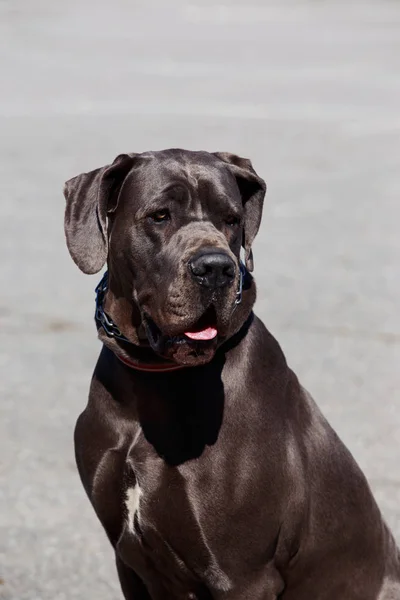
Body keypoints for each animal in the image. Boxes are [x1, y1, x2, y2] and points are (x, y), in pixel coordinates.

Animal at [63, 148, 400, 596]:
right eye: (160, 216)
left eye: (231, 219)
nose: (216, 268)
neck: (154, 381)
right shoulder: (129, 561)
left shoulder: (244, 577)